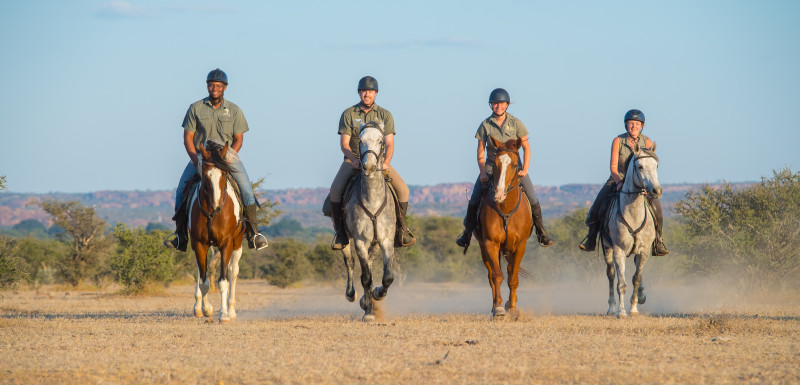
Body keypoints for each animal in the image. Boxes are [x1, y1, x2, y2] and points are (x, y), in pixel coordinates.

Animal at [189, 140, 245, 322]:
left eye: (224, 175)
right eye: (205, 176)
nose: (217, 206)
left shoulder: (226, 244)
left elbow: (223, 281)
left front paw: (224, 315)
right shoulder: (199, 244)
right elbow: (204, 281)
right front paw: (206, 309)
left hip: (237, 243)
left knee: (232, 272)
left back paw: (231, 310)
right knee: (201, 272)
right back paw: (199, 307)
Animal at [340, 120, 396, 320]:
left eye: (381, 141)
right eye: (360, 140)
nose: (369, 167)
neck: (372, 199)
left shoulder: (386, 240)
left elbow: (388, 276)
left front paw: (378, 293)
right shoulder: (360, 241)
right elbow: (365, 277)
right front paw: (369, 313)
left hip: (376, 242)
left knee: (370, 263)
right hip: (345, 239)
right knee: (350, 262)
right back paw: (352, 295)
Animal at [476, 136, 532, 316]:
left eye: (514, 165)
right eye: (495, 164)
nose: (499, 195)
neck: (506, 209)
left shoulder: (520, 245)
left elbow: (513, 277)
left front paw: (512, 308)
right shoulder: (491, 244)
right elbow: (497, 276)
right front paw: (499, 307)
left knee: (509, 271)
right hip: (485, 249)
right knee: (491, 275)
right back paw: (495, 306)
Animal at [604, 142, 660, 316]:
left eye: (656, 165)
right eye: (640, 166)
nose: (657, 191)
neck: (633, 214)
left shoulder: (644, 251)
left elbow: (636, 278)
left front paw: (634, 308)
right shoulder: (619, 250)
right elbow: (621, 283)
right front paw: (621, 312)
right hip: (607, 248)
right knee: (611, 275)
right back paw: (611, 307)